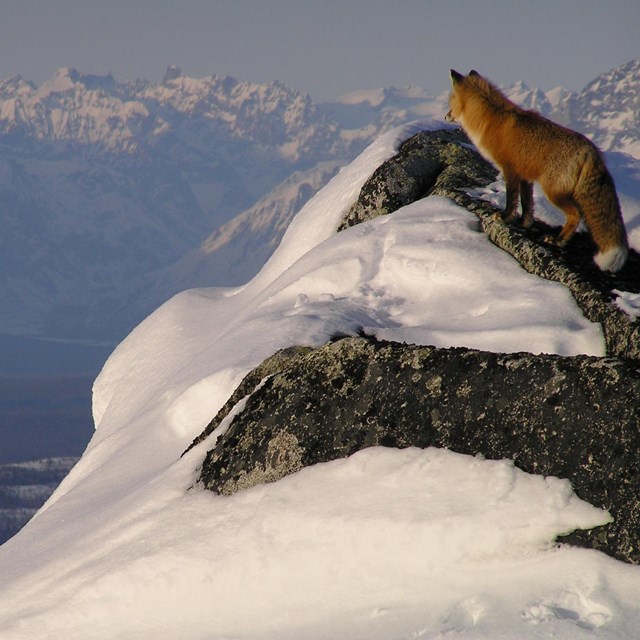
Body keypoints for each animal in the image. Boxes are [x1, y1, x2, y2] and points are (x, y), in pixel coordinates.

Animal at [448, 69, 628, 272]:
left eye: (450, 103)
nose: (446, 116)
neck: (491, 119)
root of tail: (592, 150)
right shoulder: (525, 176)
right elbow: (527, 203)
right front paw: (525, 223)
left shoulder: (510, 170)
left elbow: (511, 199)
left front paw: (504, 217)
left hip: (553, 192)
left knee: (576, 214)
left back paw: (558, 240)